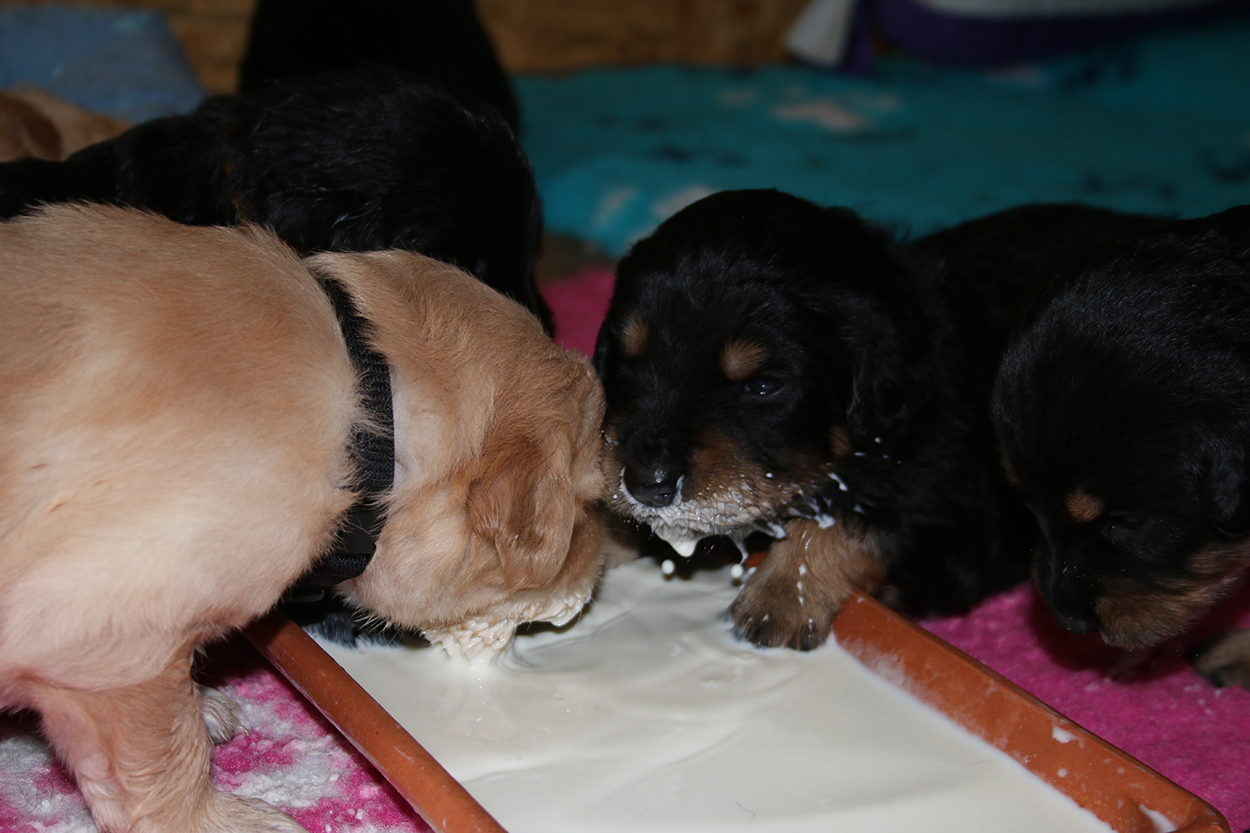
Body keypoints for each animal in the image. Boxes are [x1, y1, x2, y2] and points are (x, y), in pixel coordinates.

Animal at [0, 203, 606, 832]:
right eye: (586, 506)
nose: (601, 572)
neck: (376, 412)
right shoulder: (115, 641)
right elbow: (164, 757)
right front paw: (217, 818)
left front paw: (203, 702)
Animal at [595, 190, 1168, 650]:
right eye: (628, 362)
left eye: (762, 385)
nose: (647, 483)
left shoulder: (955, 519)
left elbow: (854, 523)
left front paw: (783, 594)